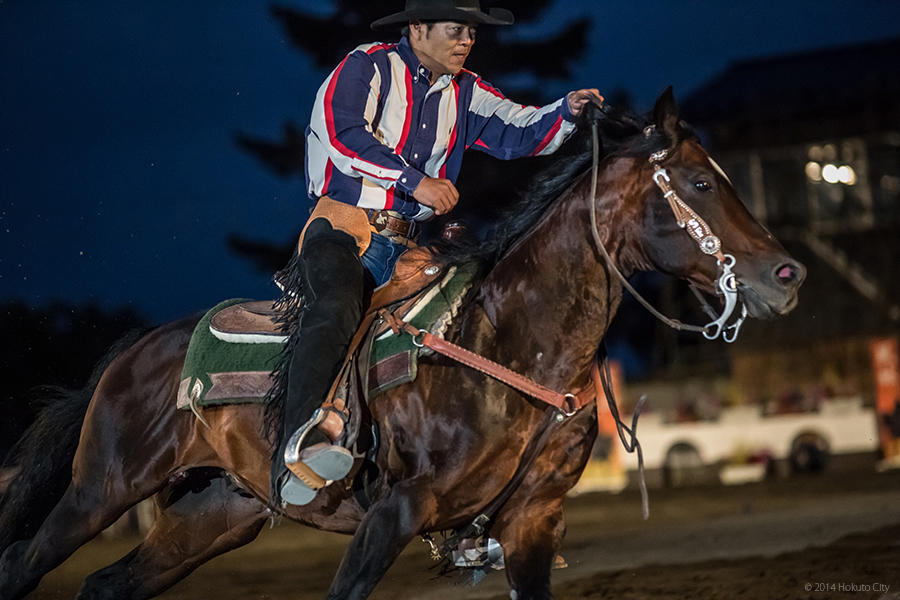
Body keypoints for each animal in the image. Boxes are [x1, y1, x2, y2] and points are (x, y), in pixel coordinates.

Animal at [0, 90, 800, 600]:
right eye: (699, 182)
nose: (786, 276)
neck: (507, 347)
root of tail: (132, 353)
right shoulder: (393, 515)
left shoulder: (533, 523)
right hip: (100, 490)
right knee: (21, 562)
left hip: (214, 514)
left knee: (105, 584)